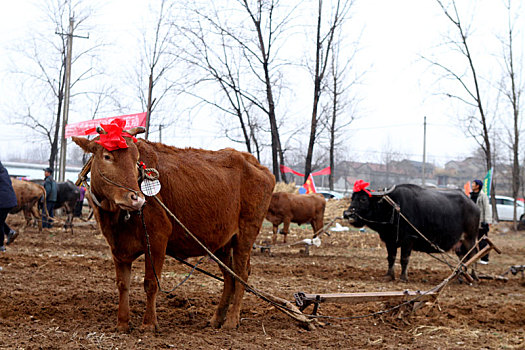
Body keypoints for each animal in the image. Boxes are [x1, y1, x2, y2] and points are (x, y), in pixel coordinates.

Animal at [72, 127, 274, 332]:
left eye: (136, 158)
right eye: (107, 156)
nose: (136, 199)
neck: (116, 216)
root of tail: (254, 163)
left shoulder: (157, 239)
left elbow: (151, 283)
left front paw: (148, 324)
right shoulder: (117, 247)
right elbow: (122, 284)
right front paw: (122, 323)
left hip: (246, 235)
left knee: (241, 274)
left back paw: (231, 321)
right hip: (222, 244)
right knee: (229, 276)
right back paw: (216, 319)